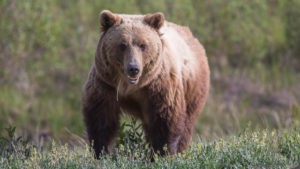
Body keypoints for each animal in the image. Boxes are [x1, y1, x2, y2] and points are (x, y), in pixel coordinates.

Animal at [81, 10, 210, 158]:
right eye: (122, 44)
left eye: (143, 45)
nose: (133, 68)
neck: (130, 87)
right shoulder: (106, 84)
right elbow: (101, 117)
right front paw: (101, 152)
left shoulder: (159, 87)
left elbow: (165, 120)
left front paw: (162, 153)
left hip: (193, 88)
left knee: (186, 123)